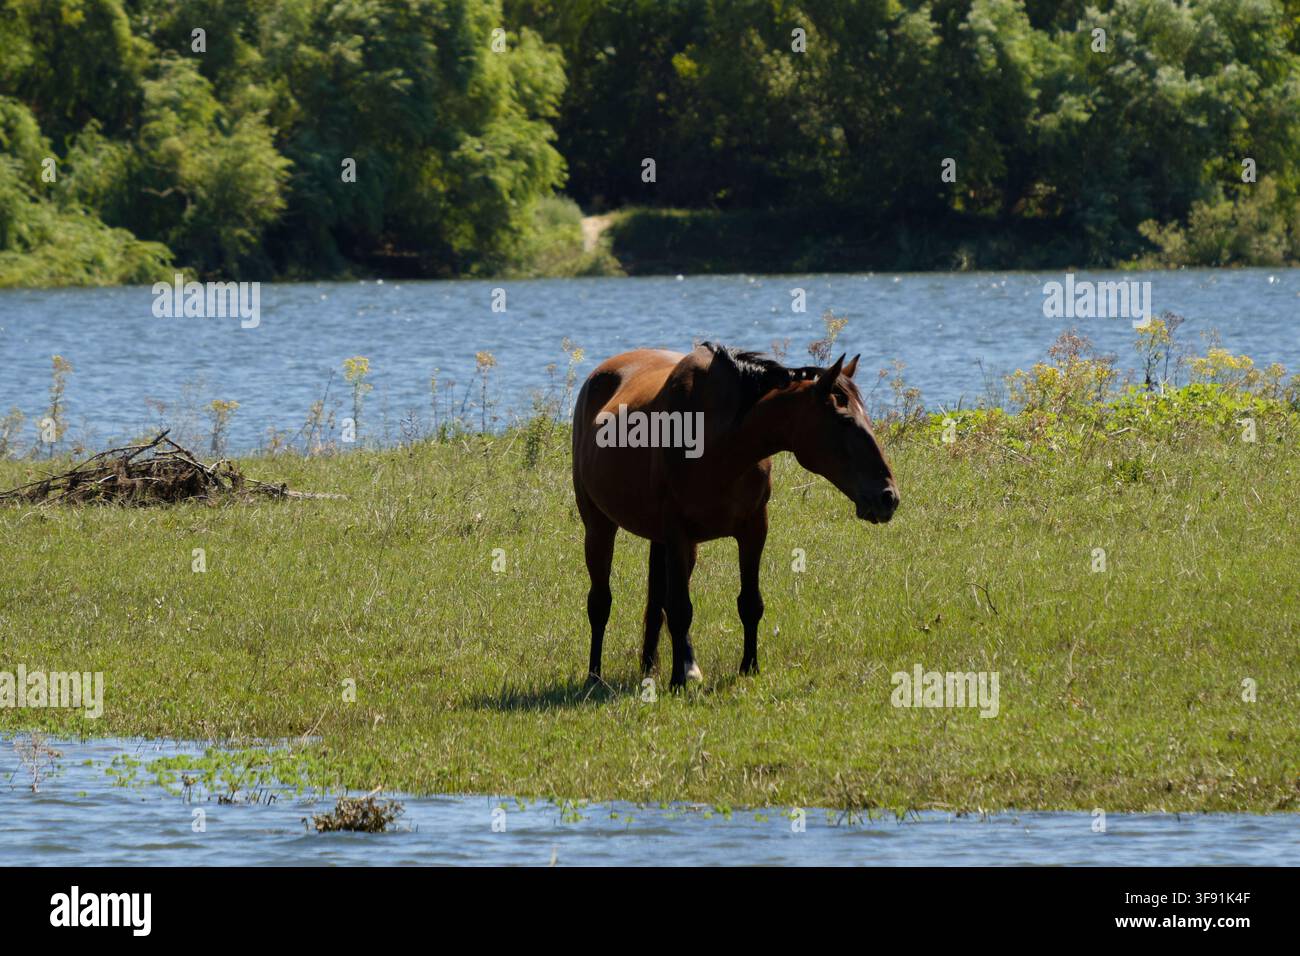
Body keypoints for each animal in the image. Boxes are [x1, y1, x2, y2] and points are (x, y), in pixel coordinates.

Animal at [571, 342, 900, 690]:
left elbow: (749, 603)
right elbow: (680, 609)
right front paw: (677, 682)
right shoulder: (676, 534)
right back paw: (595, 675)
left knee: (656, 602)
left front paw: (748, 667)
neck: (719, 442)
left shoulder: (753, 528)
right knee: (601, 602)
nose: (888, 497)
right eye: (845, 421)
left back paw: (665, 665)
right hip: (599, 526)